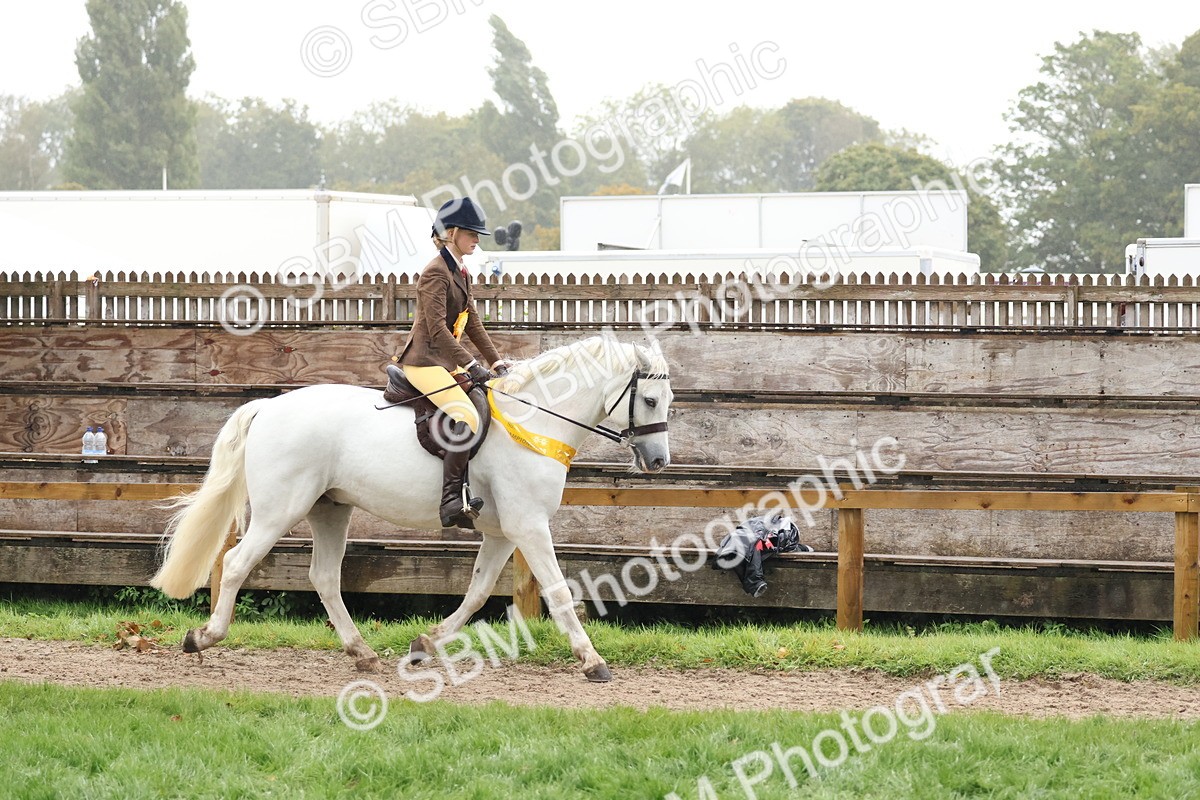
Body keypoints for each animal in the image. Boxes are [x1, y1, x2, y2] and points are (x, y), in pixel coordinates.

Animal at [150, 335, 673, 682]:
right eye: (649, 399)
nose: (658, 461)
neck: (535, 420)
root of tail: (269, 407)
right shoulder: (529, 526)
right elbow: (560, 592)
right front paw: (593, 661)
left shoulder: (503, 532)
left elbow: (477, 591)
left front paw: (425, 644)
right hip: (281, 509)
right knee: (237, 563)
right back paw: (203, 637)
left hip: (329, 509)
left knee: (324, 577)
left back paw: (361, 653)